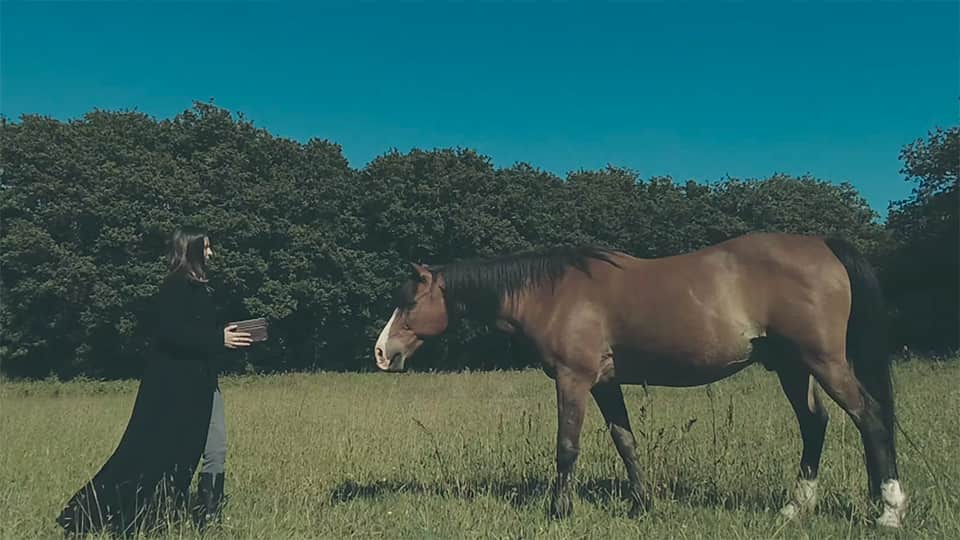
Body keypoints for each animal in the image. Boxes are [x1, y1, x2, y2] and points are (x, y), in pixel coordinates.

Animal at [373, 232, 906, 527]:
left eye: (410, 301)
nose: (382, 352)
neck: (552, 293)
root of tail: (822, 246)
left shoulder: (573, 379)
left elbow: (567, 446)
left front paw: (558, 511)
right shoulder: (605, 384)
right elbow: (625, 442)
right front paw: (643, 505)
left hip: (823, 362)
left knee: (871, 420)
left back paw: (888, 510)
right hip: (793, 367)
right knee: (816, 425)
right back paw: (797, 509)